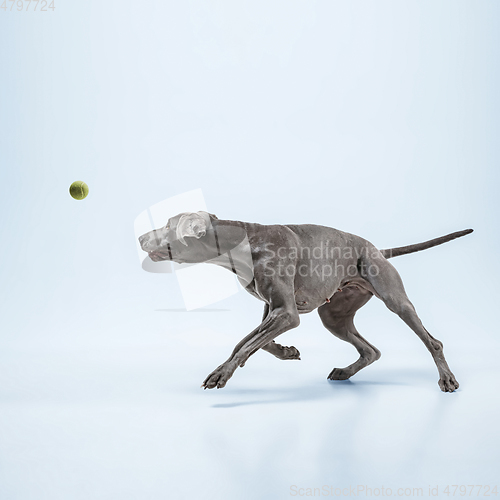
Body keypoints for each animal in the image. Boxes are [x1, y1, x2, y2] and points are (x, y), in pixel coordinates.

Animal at [138, 209, 472, 392]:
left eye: (167, 225)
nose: (140, 237)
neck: (244, 242)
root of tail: (376, 249)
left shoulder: (286, 312)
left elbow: (246, 343)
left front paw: (222, 372)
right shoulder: (274, 308)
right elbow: (255, 341)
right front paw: (286, 351)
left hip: (396, 300)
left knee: (432, 342)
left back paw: (447, 379)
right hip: (334, 316)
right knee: (371, 350)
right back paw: (345, 371)